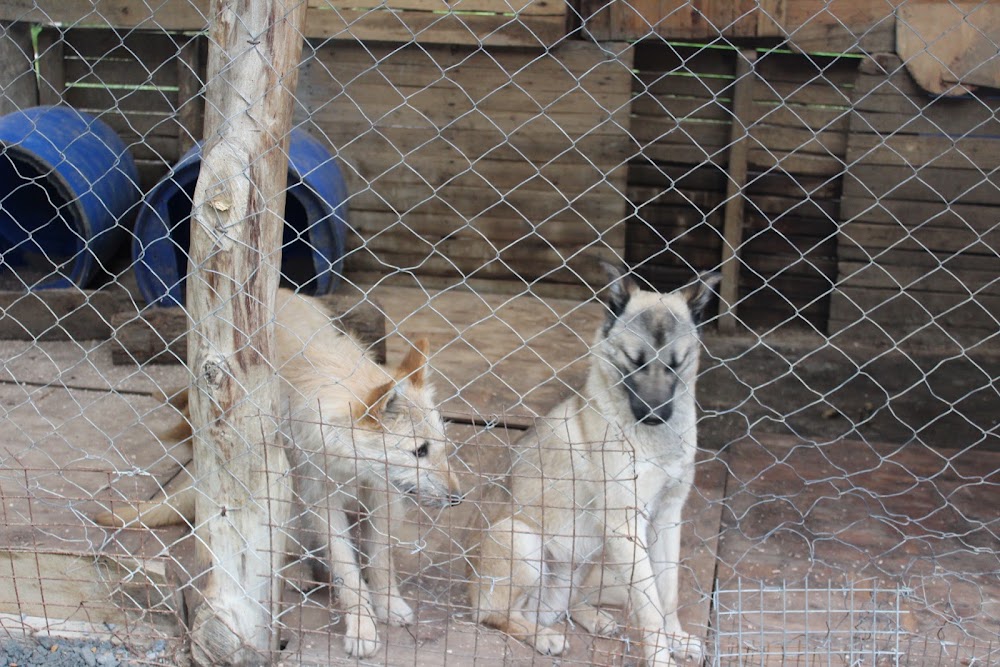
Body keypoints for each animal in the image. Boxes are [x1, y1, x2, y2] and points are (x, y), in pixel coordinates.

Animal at [96, 289, 463, 658]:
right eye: (420, 451)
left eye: (439, 445)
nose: (458, 498)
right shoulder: (321, 503)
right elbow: (347, 570)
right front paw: (362, 626)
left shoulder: (383, 495)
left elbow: (380, 559)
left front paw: (388, 604)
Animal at [468, 264, 719, 667]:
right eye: (635, 360)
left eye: (675, 364)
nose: (655, 416)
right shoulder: (625, 526)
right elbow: (650, 607)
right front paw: (662, 655)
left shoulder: (666, 518)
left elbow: (666, 592)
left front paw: (676, 638)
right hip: (523, 540)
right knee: (496, 615)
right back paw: (542, 635)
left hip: (595, 560)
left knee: (574, 602)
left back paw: (592, 617)